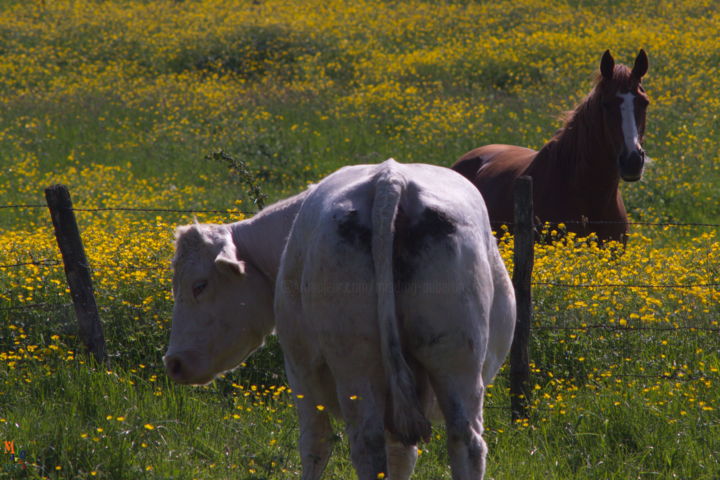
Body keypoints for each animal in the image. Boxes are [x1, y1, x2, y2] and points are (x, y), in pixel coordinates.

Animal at [165, 160, 512, 480]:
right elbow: (401, 456)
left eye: (199, 285)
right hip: (455, 361)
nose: (173, 362)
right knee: (465, 442)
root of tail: (390, 178)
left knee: (366, 444)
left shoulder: (300, 368)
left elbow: (315, 443)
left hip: (355, 365)